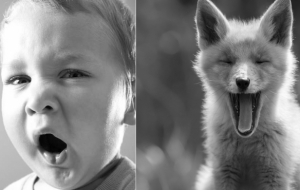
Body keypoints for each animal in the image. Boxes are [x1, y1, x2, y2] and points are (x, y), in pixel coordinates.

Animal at [193, 0, 300, 189]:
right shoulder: (224, 173)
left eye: (261, 61)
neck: (247, 144)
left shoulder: (275, 176)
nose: (242, 81)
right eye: (227, 61)